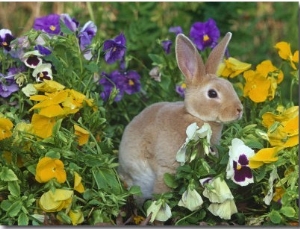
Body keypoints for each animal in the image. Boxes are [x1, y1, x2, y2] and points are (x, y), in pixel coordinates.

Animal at [118, 31, 244, 205]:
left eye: (230, 86)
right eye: (212, 93)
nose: (239, 110)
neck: (195, 116)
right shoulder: (166, 168)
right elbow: (162, 190)